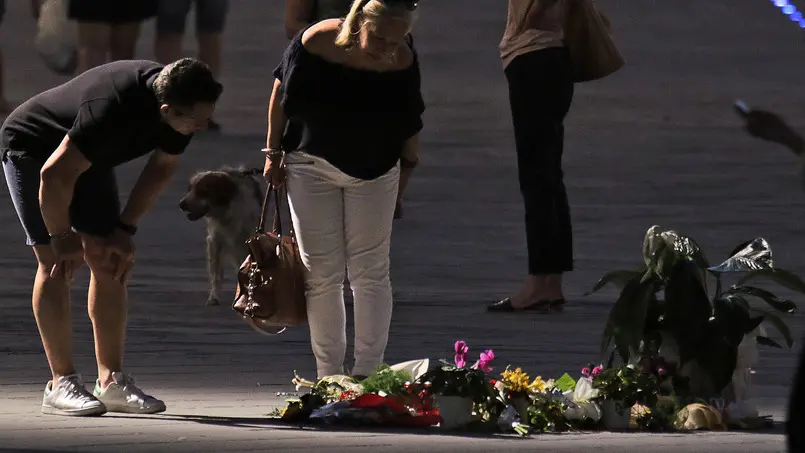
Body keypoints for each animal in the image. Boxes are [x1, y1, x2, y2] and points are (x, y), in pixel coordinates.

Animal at [179, 164, 264, 306]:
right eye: (190, 189)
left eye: (202, 192)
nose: (181, 204)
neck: (226, 213)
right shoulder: (215, 241)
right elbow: (216, 275)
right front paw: (213, 297)